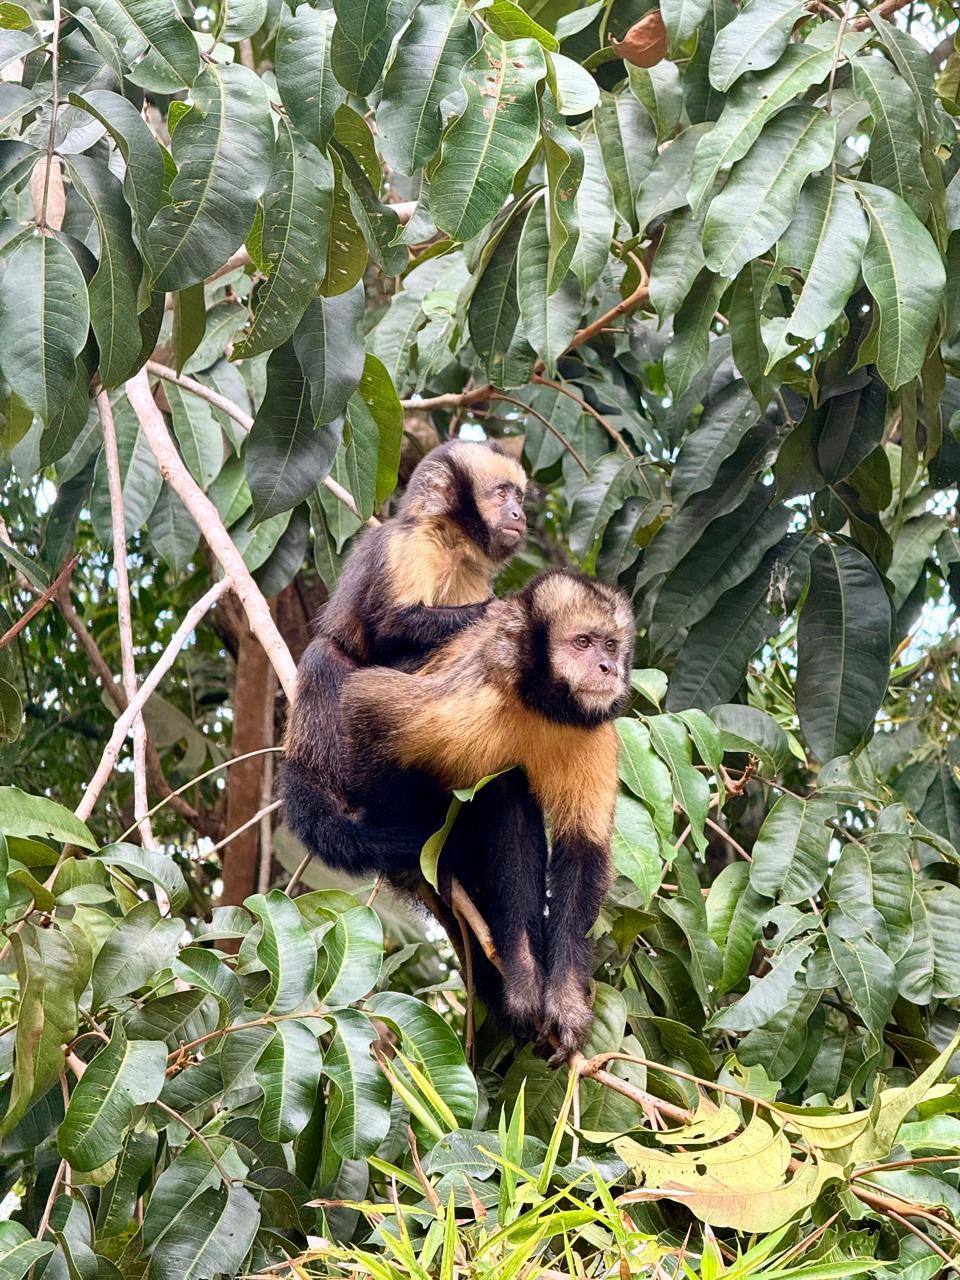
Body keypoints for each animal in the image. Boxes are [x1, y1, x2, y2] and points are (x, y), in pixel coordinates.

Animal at [281, 439, 530, 870]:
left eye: (519, 496)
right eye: (501, 494)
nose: (520, 513)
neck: (452, 541)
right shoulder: (411, 546)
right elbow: (389, 628)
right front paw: (500, 609)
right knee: (326, 655)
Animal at [337, 570, 635, 1063]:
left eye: (610, 646)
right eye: (583, 642)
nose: (608, 669)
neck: (540, 705)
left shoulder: (596, 730)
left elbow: (583, 850)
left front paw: (565, 1000)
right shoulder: (463, 698)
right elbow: (363, 704)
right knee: (502, 787)